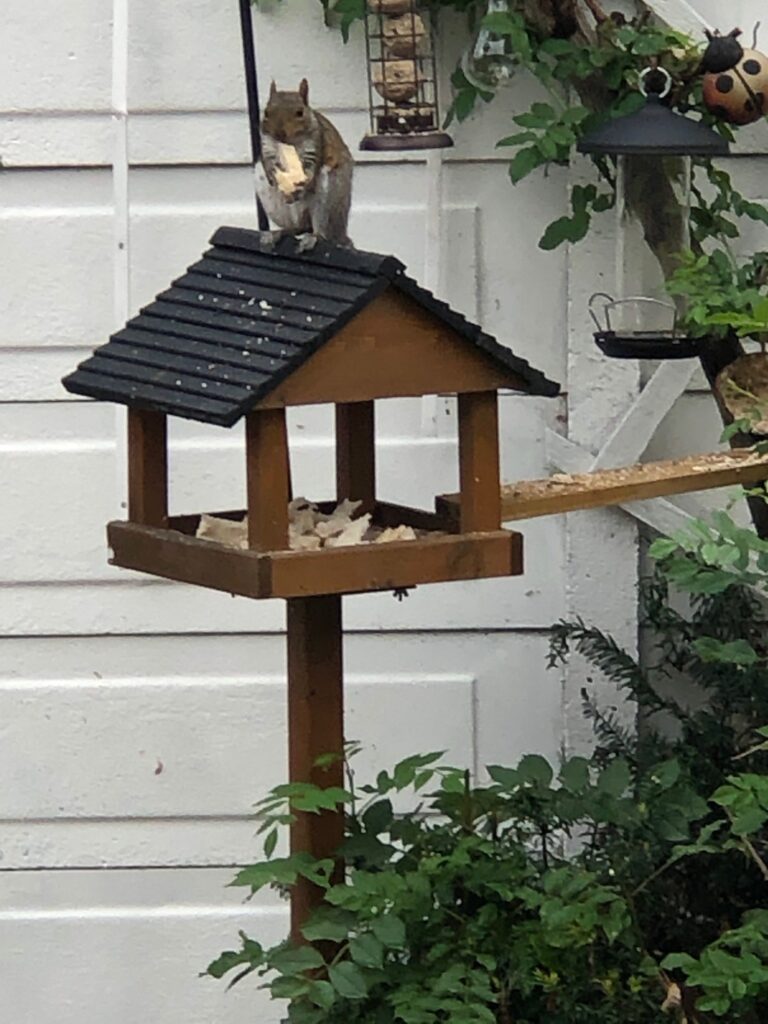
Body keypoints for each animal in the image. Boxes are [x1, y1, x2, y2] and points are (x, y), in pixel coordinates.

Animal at [255, 79, 354, 247]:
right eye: (266, 113)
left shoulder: (315, 144)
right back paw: (278, 233)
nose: (279, 134)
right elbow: (268, 162)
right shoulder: (267, 146)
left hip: (329, 196)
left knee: (321, 230)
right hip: (270, 199)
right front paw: (272, 175)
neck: (289, 145)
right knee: (298, 227)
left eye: (300, 113)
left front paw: (303, 184)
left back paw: (313, 237)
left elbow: (311, 169)